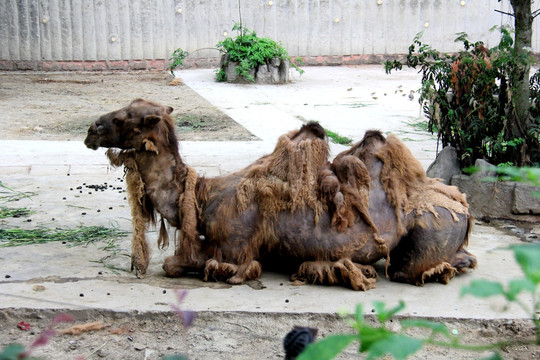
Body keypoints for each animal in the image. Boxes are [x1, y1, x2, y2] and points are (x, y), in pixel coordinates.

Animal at [84, 100, 476, 292]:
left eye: (125, 118)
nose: (90, 129)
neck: (201, 194)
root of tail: (466, 209)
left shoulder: (234, 249)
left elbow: (181, 265)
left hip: (429, 231)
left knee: (409, 268)